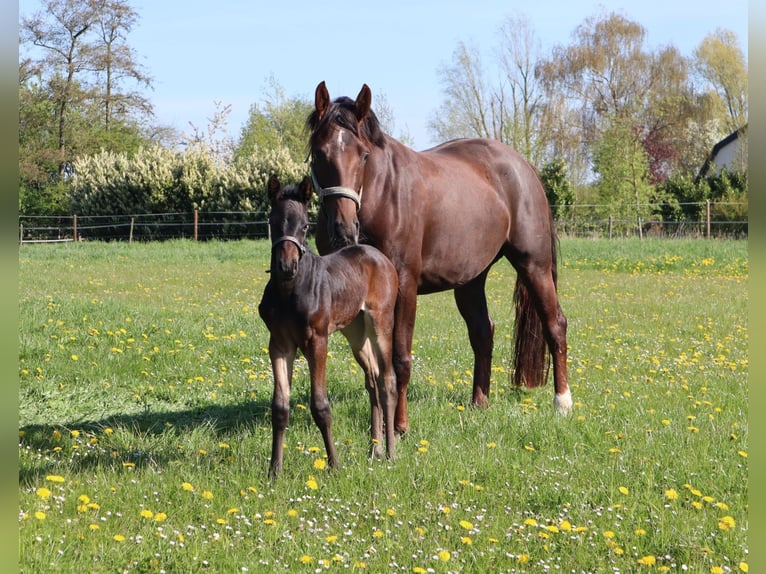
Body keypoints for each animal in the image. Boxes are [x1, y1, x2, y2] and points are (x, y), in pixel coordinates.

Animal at [258, 174, 399, 478]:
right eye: (273, 222)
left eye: (305, 226)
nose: (287, 266)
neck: (289, 292)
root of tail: (380, 257)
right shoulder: (279, 344)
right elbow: (280, 407)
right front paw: (274, 470)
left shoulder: (317, 340)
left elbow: (321, 405)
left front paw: (334, 464)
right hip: (355, 332)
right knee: (372, 380)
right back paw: (374, 449)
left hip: (380, 322)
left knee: (387, 381)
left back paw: (391, 452)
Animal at [308, 81, 572, 435]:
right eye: (319, 153)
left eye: (363, 154)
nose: (343, 229)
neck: (382, 194)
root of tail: (522, 166)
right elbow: (372, 366)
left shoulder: (404, 286)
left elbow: (400, 358)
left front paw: (399, 425)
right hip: (471, 281)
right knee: (483, 332)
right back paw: (479, 402)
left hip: (535, 265)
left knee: (555, 325)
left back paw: (563, 403)